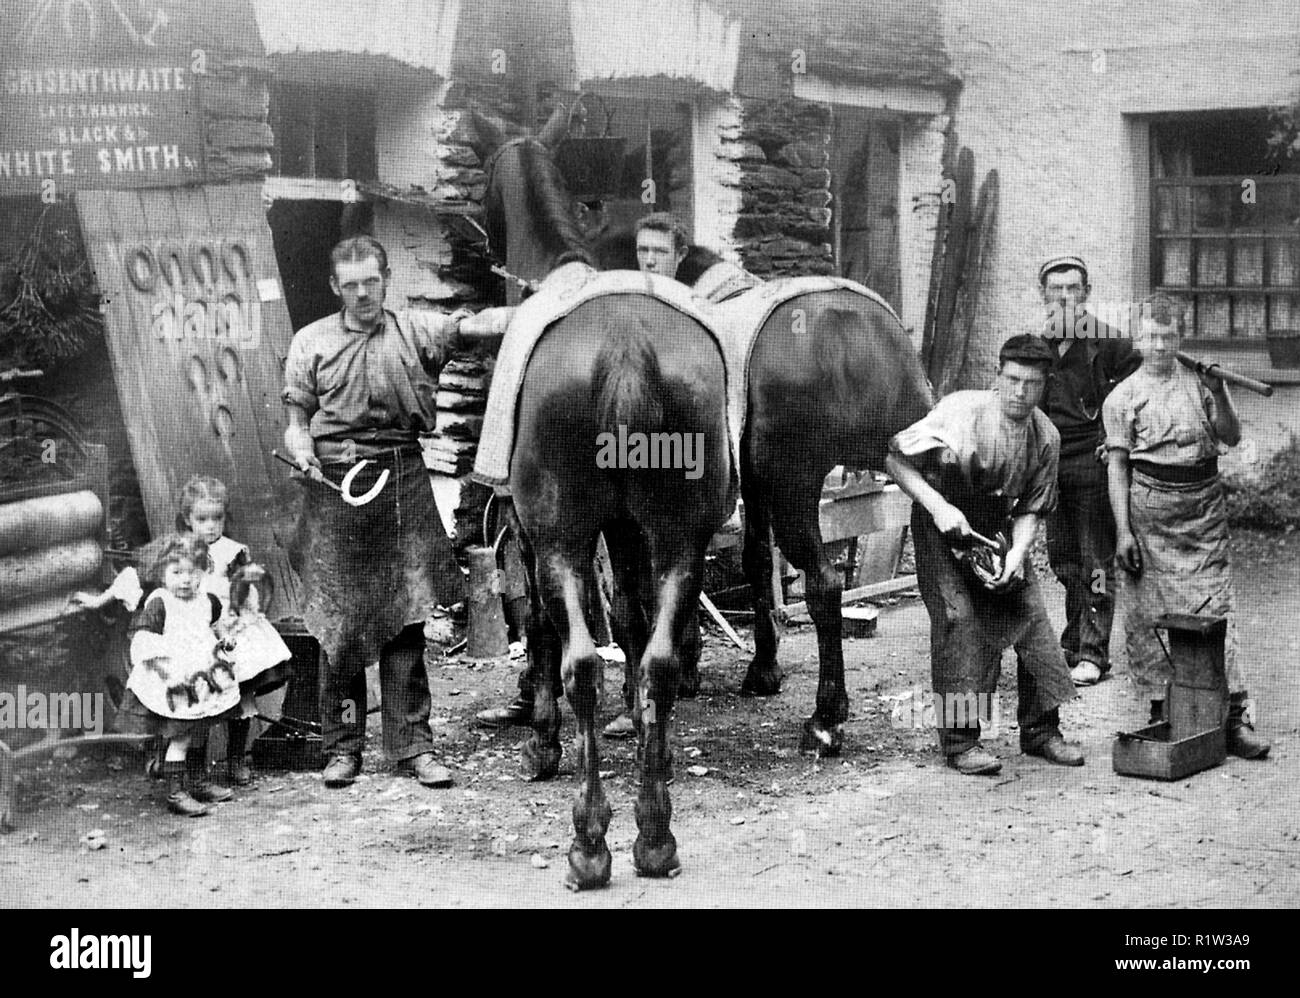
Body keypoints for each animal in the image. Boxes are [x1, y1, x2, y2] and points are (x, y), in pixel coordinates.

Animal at [465, 109, 733, 888]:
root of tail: (624, 345)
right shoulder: (629, 531)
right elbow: (635, 620)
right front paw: (645, 738)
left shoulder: (530, 530)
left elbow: (544, 632)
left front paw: (543, 737)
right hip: (680, 535)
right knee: (661, 659)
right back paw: (656, 830)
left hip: (560, 537)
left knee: (582, 662)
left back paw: (589, 841)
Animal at [590, 222, 935, 753]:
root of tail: (849, 330)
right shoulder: (753, 485)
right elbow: (754, 559)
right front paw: (762, 668)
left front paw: (679, 673)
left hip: (797, 486)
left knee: (824, 583)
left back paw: (825, 719)